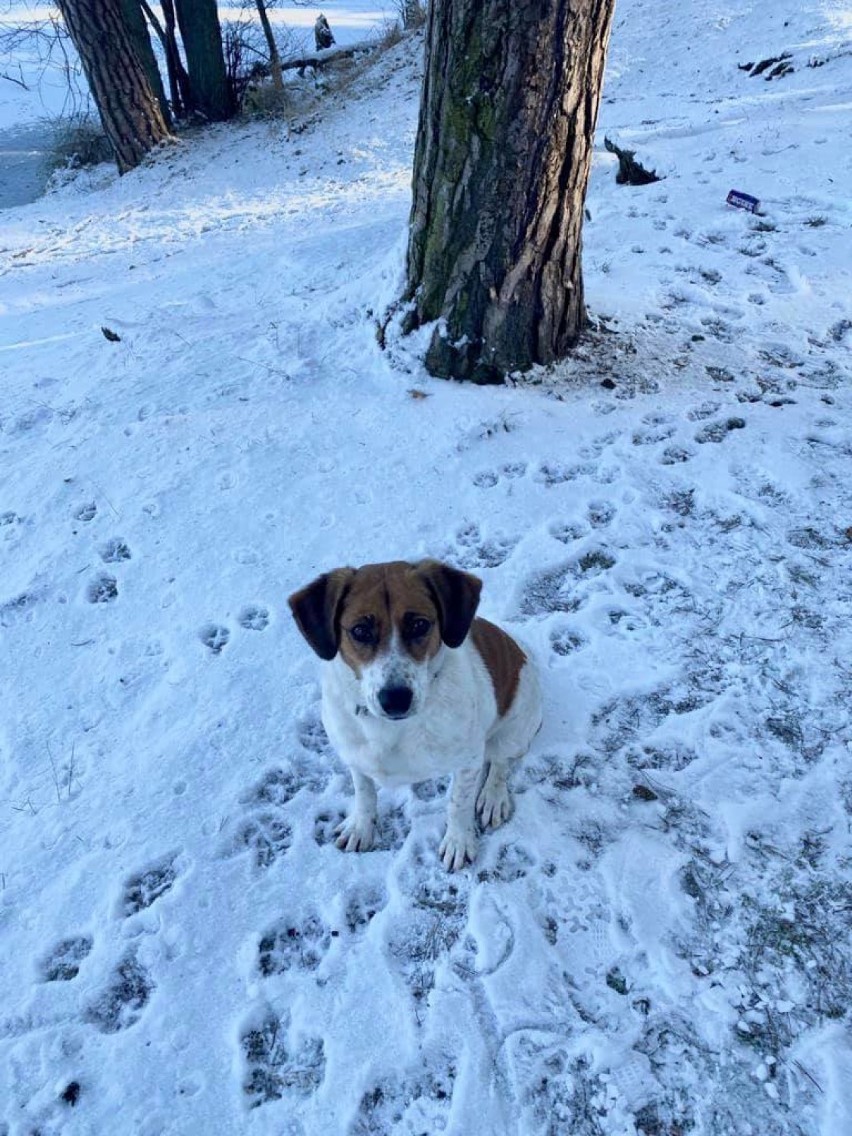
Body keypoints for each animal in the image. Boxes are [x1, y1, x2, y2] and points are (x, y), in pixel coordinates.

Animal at [287, 558, 540, 867]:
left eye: (419, 624)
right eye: (359, 631)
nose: (395, 699)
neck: (392, 729)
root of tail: (520, 650)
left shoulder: (467, 761)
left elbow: (458, 804)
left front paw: (458, 840)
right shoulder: (354, 755)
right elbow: (364, 792)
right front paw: (361, 826)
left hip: (514, 730)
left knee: (500, 763)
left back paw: (493, 797)